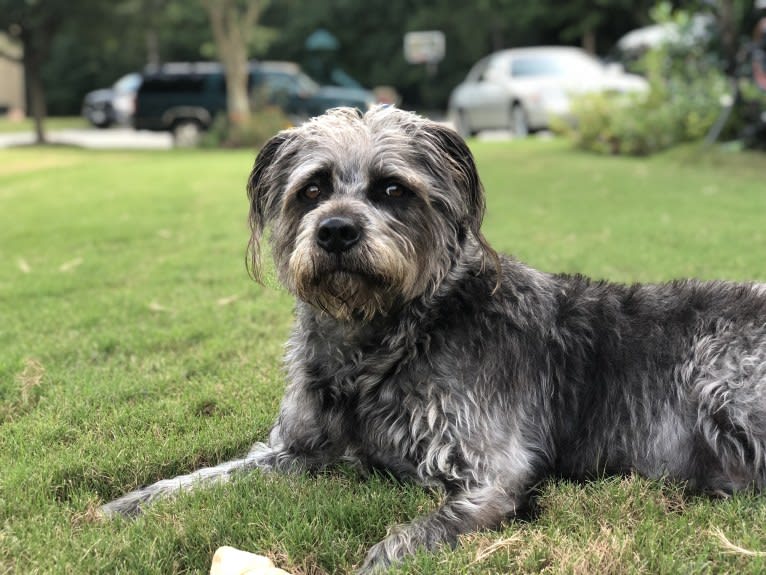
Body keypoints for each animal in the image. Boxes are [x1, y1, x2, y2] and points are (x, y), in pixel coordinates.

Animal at [102, 106, 766, 572]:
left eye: (392, 189)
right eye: (312, 189)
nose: (336, 231)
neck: (385, 339)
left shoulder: (490, 473)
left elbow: (415, 535)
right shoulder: (297, 451)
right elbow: (207, 475)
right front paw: (130, 503)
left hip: (719, 373)